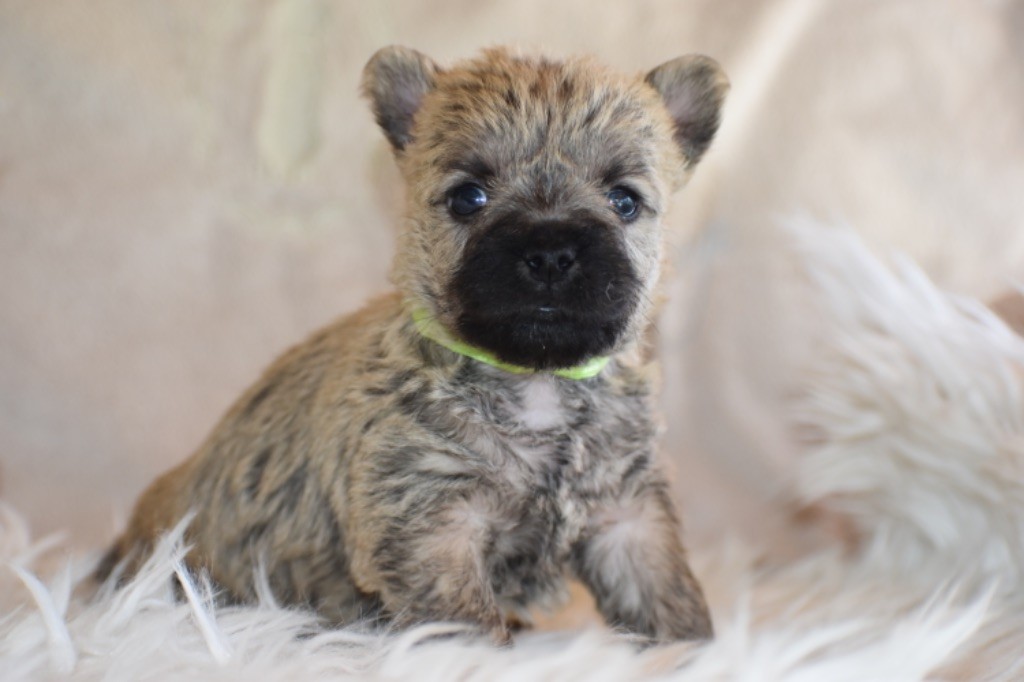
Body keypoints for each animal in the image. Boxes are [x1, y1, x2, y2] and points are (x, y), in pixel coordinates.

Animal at [99, 45, 729, 638]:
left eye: (624, 201)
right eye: (468, 197)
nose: (549, 254)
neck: (536, 382)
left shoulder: (630, 519)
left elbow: (669, 598)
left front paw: (691, 653)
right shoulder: (432, 528)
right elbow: (463, 624)